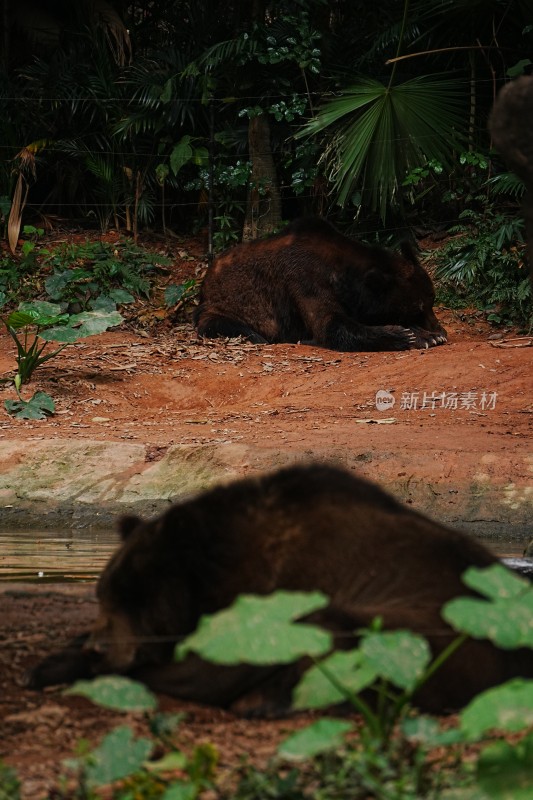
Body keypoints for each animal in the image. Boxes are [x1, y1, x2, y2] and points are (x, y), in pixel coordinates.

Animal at [27, 460, 528, 716]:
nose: (98, 648)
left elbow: (206, 669)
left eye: (134, 595)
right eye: (104, 593)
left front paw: (56, 664)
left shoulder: (270, 608)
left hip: (423, 641)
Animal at [193, 220, 446, 354]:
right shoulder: (305, 280)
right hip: (222, 308)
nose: (442, 330)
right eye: (418, 308)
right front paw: (409, 336)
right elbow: (330, 325)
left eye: (431, 301)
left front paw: (429, 336)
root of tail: (205, 280)